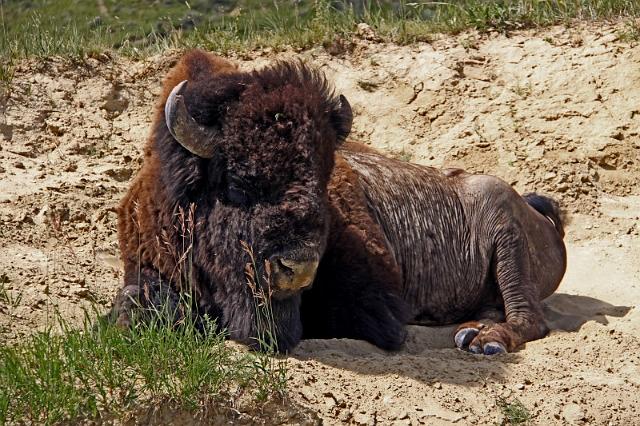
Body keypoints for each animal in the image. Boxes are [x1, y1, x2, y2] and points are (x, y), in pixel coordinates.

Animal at [110, 50, 564, 354]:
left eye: (323, 179)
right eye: (237, 183)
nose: (296, 268)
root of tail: (538, 215)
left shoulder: (374, 304)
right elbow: (136, 299)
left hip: (502, 227)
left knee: (528, 317)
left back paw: (485, 341)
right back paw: (470, 329)